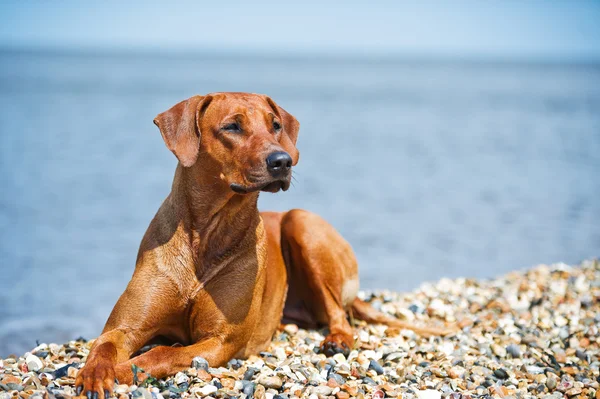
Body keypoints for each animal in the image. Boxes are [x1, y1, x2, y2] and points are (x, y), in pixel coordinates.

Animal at [75, 92, 452, 398]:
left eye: (275, 125)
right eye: (232, 127)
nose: (283, 160)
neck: (206, 234)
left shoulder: (220, 341)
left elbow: (161, 353)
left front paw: (124, 370)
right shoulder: (123, 327)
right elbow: (103, 347)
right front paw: (95, 374)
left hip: (302, 222)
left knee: (340, 315)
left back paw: (336, 341)